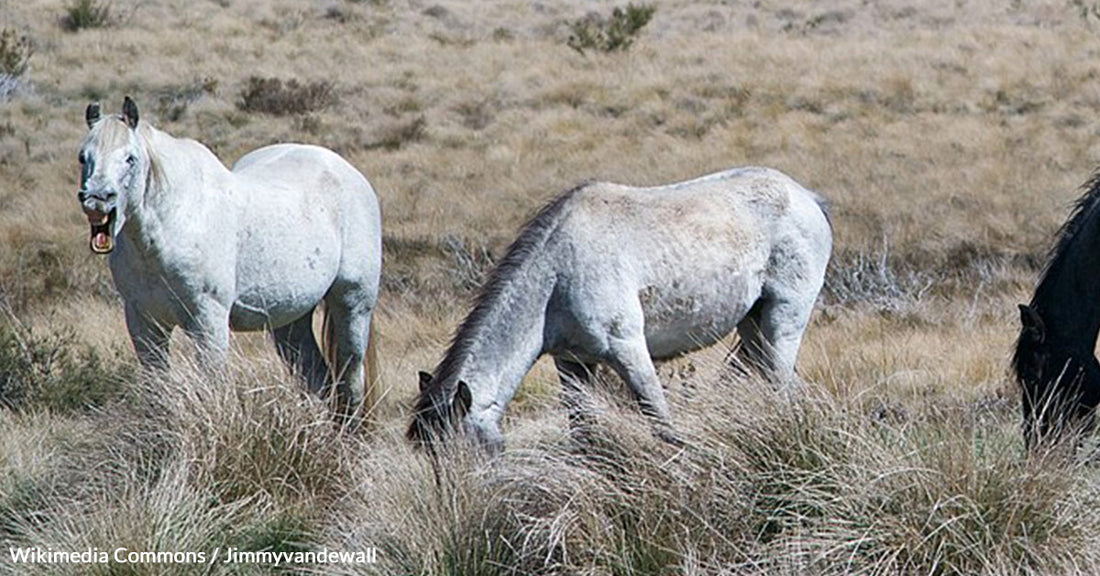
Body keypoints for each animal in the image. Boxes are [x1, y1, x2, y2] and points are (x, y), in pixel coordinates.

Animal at [76, 97, 382, 422]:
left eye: (130, 159)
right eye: (84, 157)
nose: (97, 200)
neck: (176, 223)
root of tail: (350, 173)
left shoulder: (208, 318)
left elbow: (214, 384)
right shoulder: (144, 321)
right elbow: (155, 388)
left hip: (352, 306)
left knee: (350, 382)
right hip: (291, 320)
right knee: (320, 380)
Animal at [409, 163, 827, 452]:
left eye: (464, 452)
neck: (557, 275)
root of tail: (808, 197)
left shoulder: (629, 350)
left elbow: (662, 425)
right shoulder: (572, 363)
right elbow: (582, 434)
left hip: (783, 322)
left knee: (782, 388)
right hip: (753, 326)